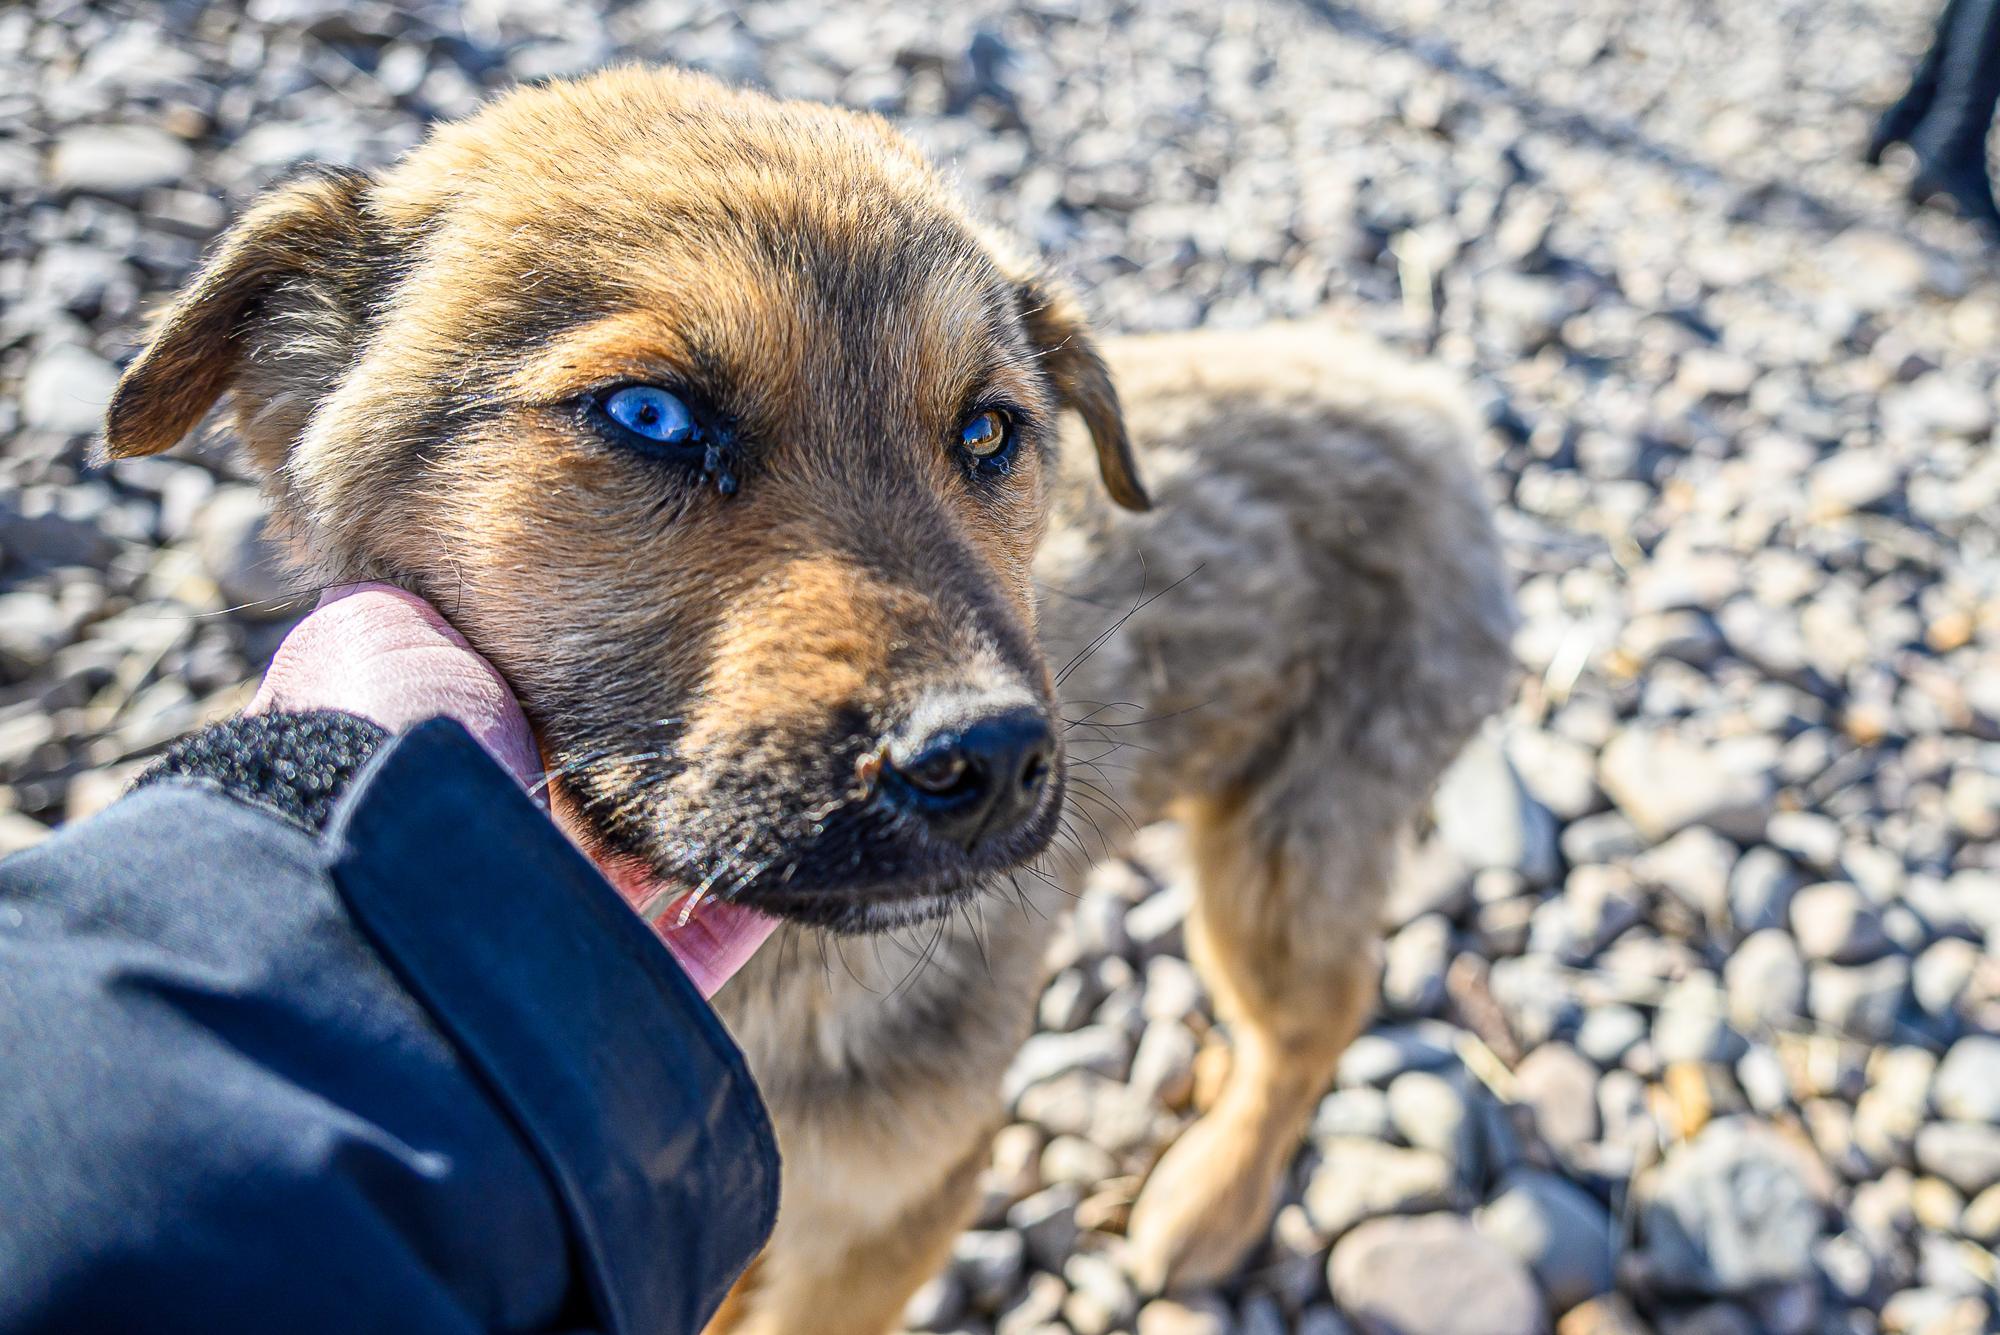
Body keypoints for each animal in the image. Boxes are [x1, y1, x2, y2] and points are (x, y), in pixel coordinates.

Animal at [101, 64, 1504, 1335]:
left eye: (987, 431)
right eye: (651, 415)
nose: (987, 761)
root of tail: (1411, 388)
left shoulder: (898, 1200)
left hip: (1291, 847)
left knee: (1313, 1023)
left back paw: (1209, 1196)